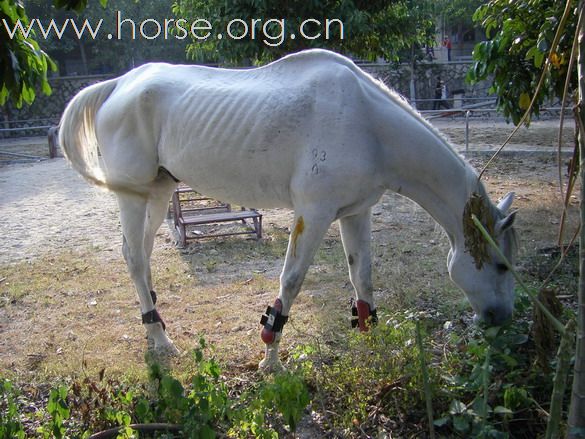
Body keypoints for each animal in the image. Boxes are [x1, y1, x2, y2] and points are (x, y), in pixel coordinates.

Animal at [58, 49, 516, 372]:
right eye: (500, 265)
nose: (501, 321)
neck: (369, 124)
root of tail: (120, 83)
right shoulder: (314, 214)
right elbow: (291, 282)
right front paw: (270, 359)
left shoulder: (355, 213)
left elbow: (362, 278)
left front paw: (369, 341)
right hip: (134, 197)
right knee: (134, 258)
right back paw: (160, 340)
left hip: (157, 194)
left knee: (142, 255)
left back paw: (156, 325)